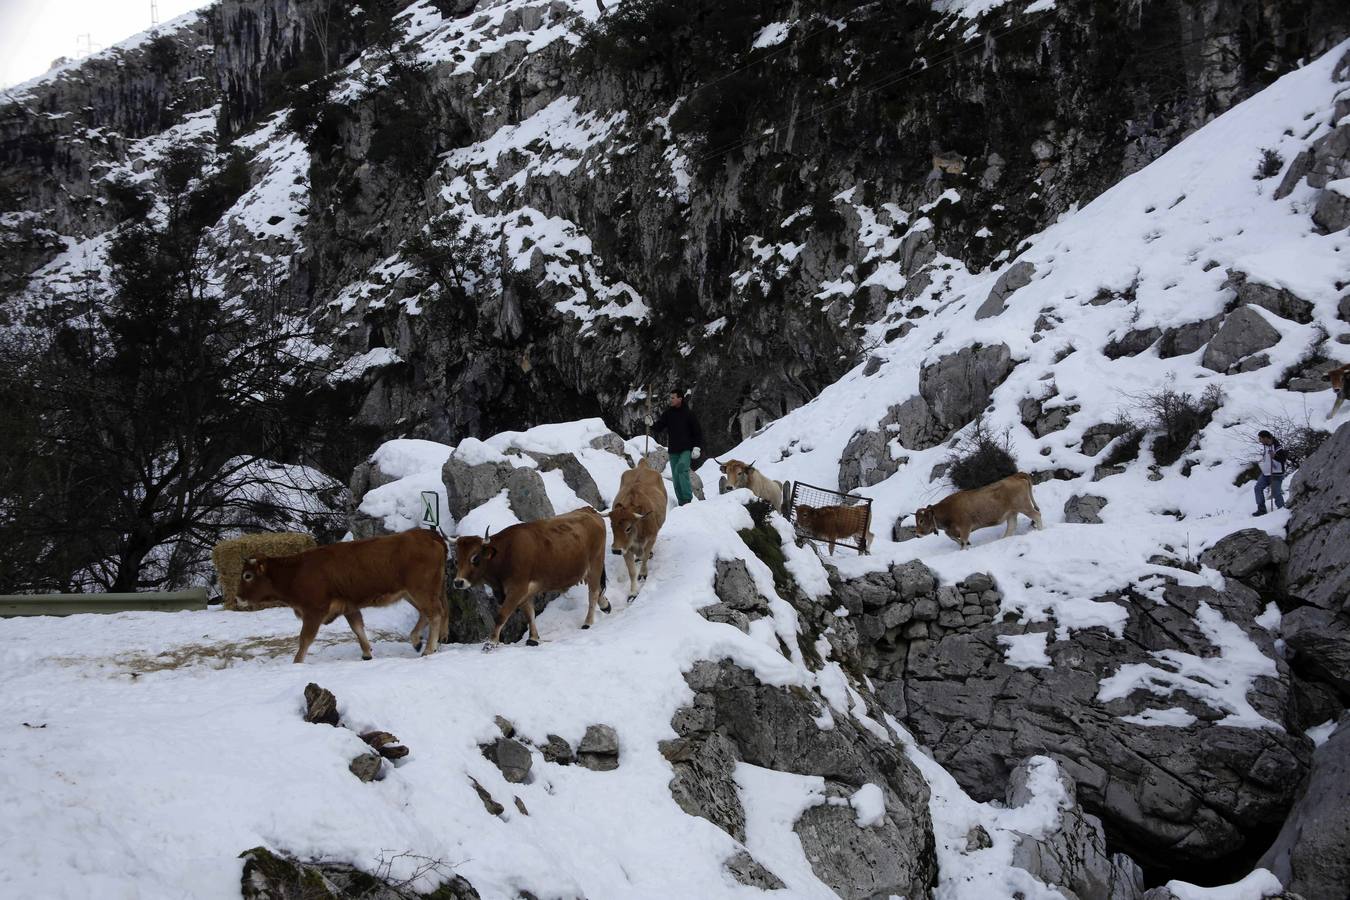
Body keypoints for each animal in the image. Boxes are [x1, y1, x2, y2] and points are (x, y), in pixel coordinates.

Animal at [240, 528, 450, 661]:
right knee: (427, 613)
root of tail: (425, 533)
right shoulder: (349, 606)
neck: (297, 571)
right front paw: (367, 653)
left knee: (435, 613)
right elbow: (357, 628)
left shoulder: (314, 611)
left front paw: (297, 662)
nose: (238, 598)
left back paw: (428, 649)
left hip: (421, 590)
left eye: (247, 576)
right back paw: (417, 640)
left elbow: (305, 639)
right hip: (414, 593)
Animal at [450, 507, 610, 647]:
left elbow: (502, 615)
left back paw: (588, 622)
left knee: (593, 593)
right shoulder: (525, 592)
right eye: (457, 560)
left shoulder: (517, 589)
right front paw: (533, 638)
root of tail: (589, 510)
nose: (458, 582)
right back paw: (605, 605)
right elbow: (529, 614)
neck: (505, 554)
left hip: (595, 565)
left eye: (475, 558)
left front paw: (491, 642)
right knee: (598, 591)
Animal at [607, 461, 669, 601]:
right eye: (611, 526)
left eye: (628, 528)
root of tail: (642, 465)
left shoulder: (651, 538)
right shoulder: (626, 548)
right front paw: (633, 592)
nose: (615, 550)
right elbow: (631, 572)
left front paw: (643, 574)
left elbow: (645, 557)